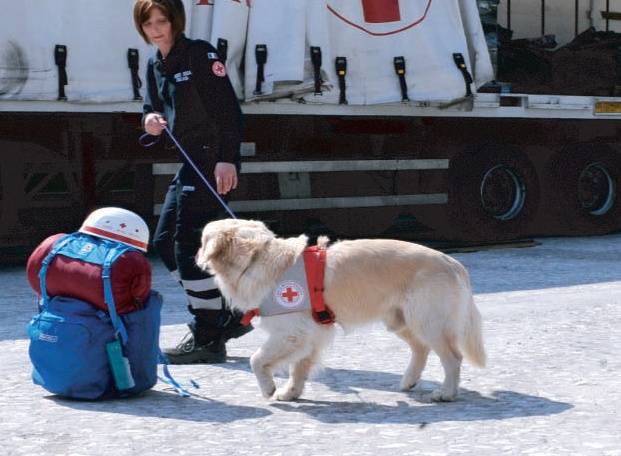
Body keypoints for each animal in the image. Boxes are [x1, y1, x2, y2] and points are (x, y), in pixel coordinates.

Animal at [196, 219, 486, 400]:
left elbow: (256, 359)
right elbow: (299, 367)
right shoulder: (310, 333)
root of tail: (451, 261)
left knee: (452, 358)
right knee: (421, 349)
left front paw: (269, 388)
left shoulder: (291, 333)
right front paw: (291, 392)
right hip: (400, 320)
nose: (196, 256)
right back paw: (409, 381)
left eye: (201, 242)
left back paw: (446, 393)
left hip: (427, 321)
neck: (256, 259)